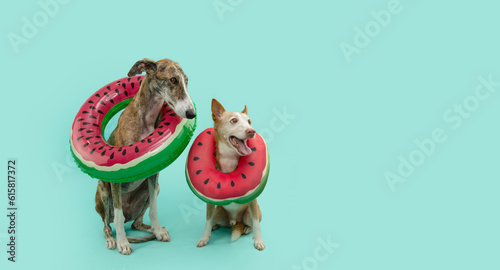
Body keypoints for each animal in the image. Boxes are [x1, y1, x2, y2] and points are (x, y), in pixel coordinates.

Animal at [94, 58, 196, 254]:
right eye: (173, 80)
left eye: (186, 81)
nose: (191, 113)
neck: (146, 118)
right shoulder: (115, 179)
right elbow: (117, 217)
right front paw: (123, 243)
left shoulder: (153, 175)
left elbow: (154, 210)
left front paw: (158, 231)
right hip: (104, 191)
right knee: (107, 224)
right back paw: (112, 239)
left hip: (153, 190)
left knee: (136, 223)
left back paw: (155, 230)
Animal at [196, 99, 266, 251]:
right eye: (234, 120)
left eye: (249, 121)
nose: (251, 131)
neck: (229, 160)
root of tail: (234, 221)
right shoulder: (209, 203)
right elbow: (207, 221)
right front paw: (204, 238)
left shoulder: (253, 201)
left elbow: (257, 224)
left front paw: (258, 240)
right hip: (219, 212)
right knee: (214, 221)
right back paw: (215, 227)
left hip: (250, 214)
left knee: (252, 223)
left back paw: (247, 229)